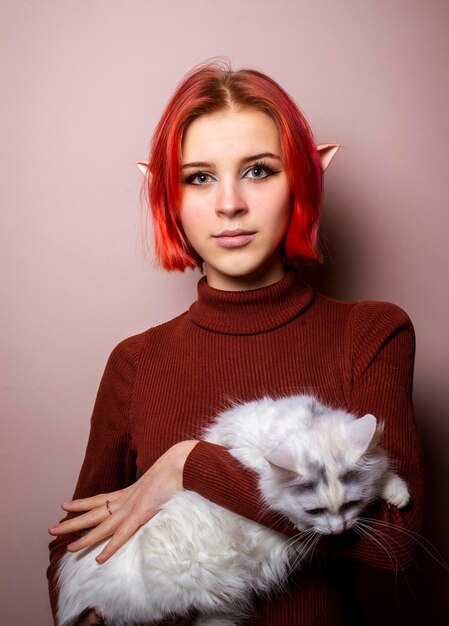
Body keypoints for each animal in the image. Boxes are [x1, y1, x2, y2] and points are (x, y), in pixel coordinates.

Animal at [57, 394, 410, 624]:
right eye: (314, 511)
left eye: (351, 504)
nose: (339, 530)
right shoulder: (240, 448)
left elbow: (383, 473)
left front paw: (397, 491)